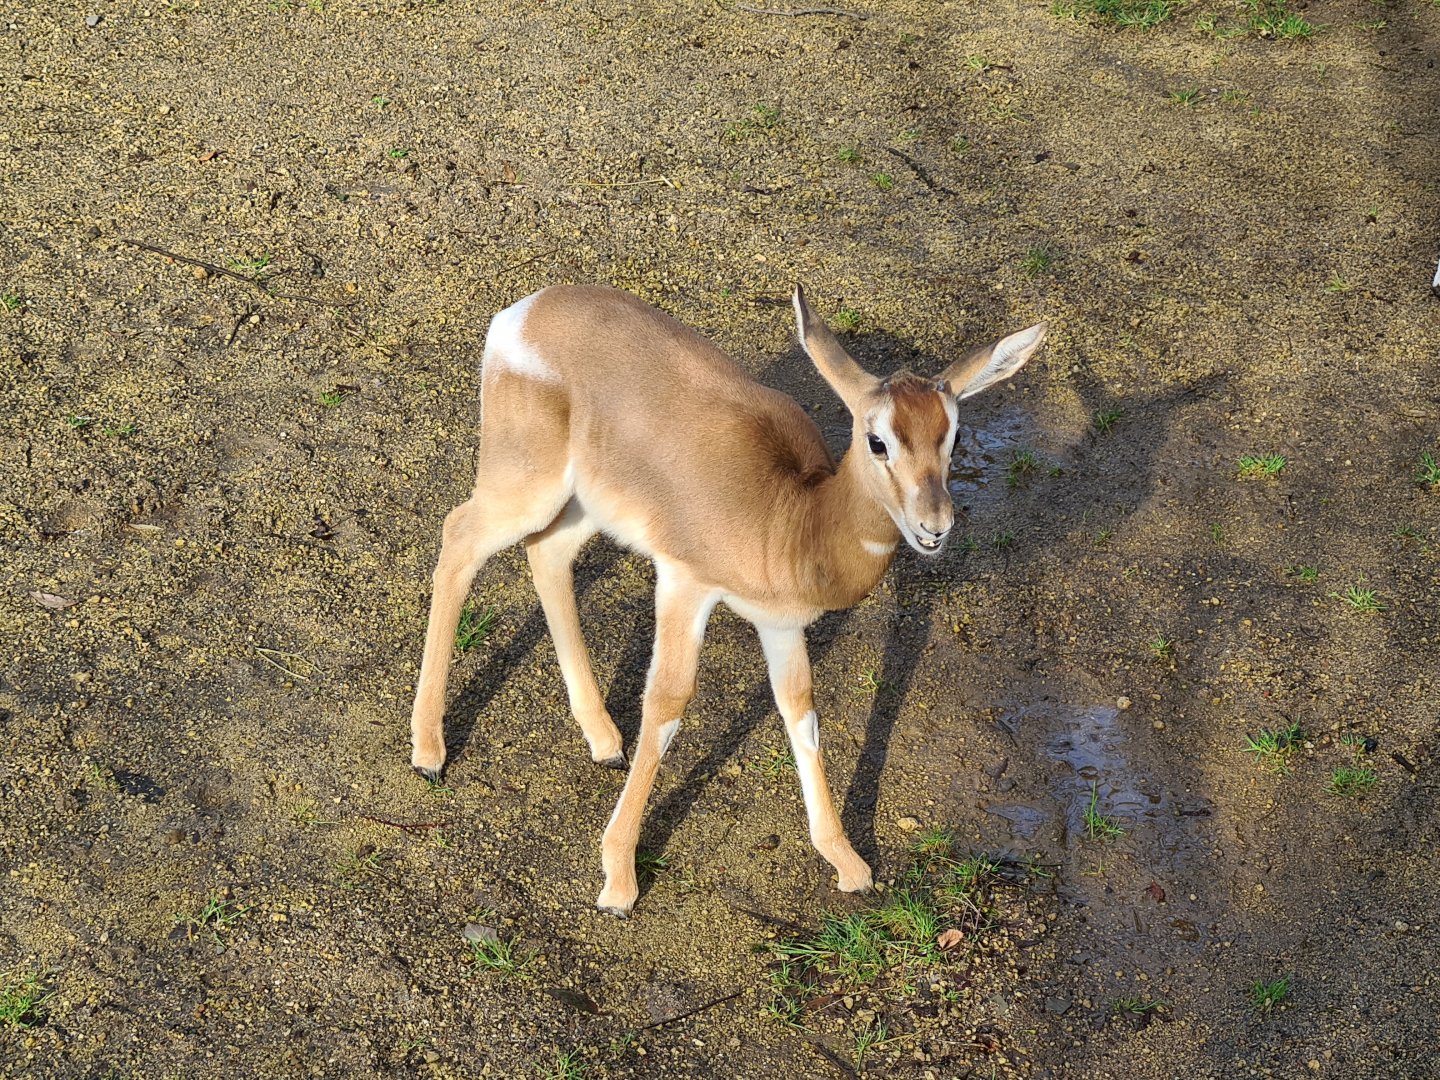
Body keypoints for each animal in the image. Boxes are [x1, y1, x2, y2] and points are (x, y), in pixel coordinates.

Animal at [409, 284, 1046, 917]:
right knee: (459, 536)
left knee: (546, 554)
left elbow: (800, 711)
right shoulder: (684, 583)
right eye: (877, 440)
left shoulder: (781, 624)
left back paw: (604, 740)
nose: (934, 526)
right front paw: (618, 882)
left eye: (954, 437)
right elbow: (667, 705)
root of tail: (526, 309)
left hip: (583, 505)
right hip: (523, 484)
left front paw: (847, 862)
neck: (793, 518)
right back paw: (429, 752)